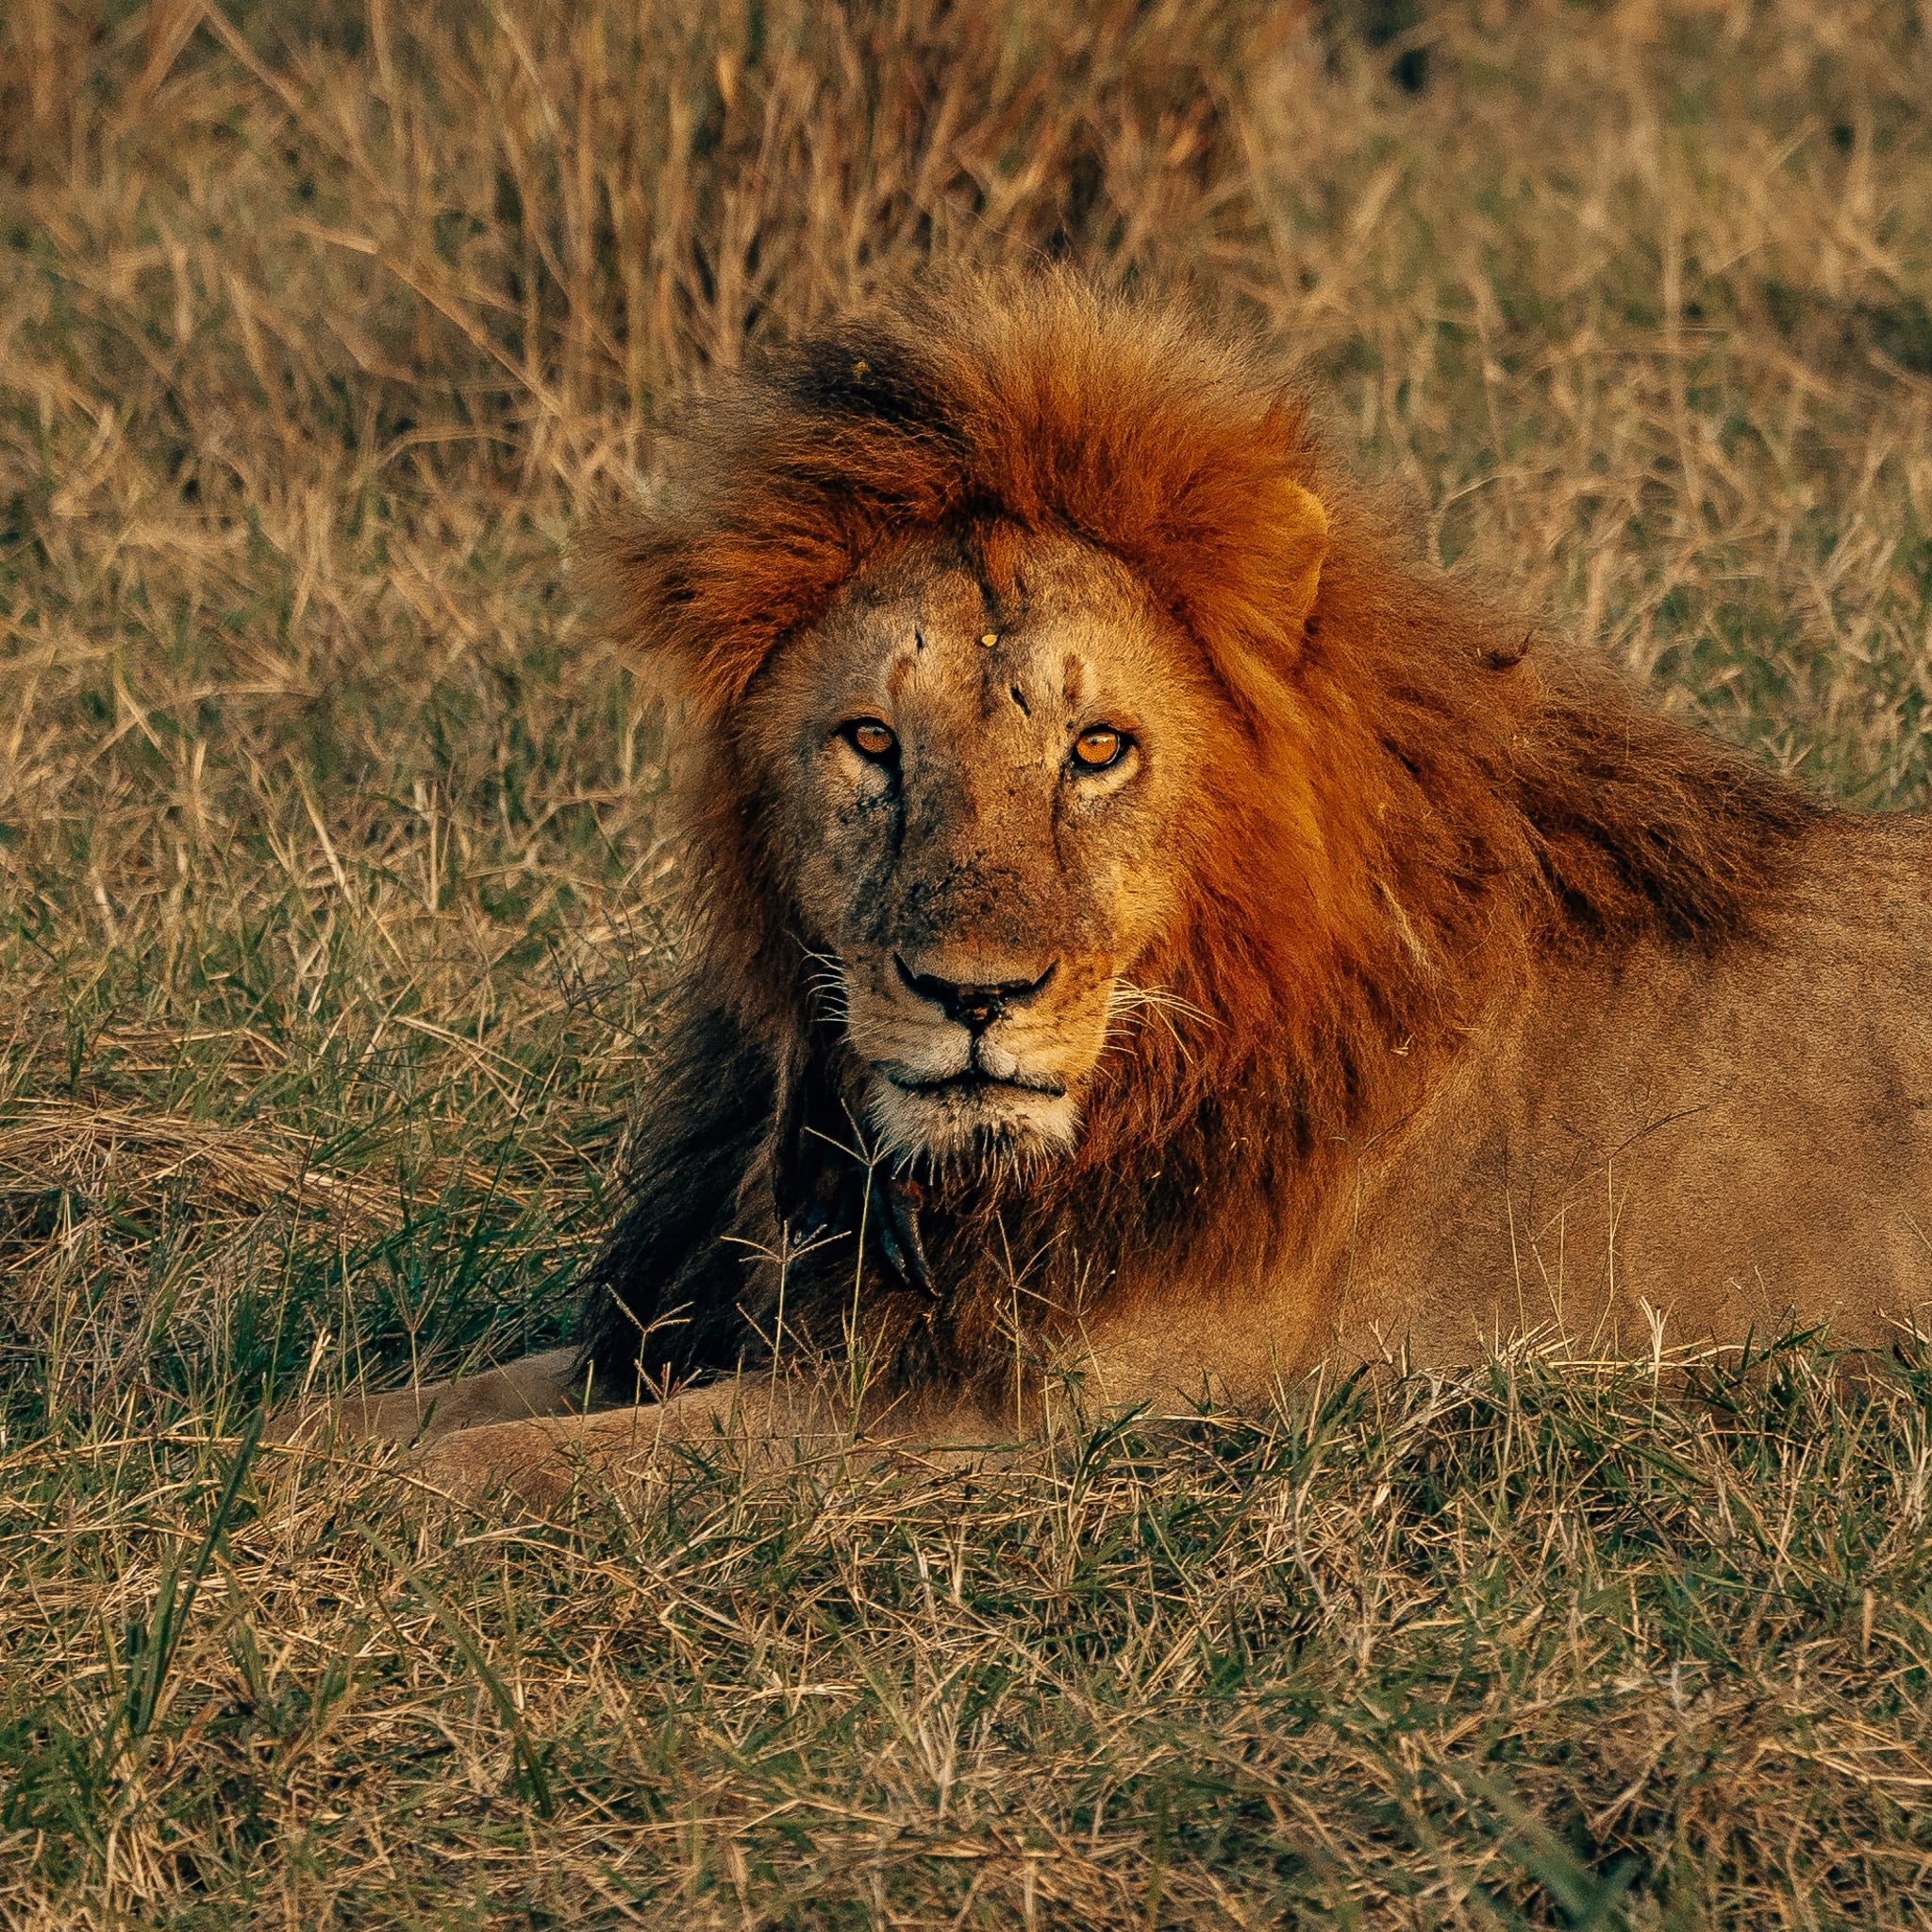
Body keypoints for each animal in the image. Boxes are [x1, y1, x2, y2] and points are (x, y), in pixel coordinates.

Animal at [316, 273, 1932, 1500]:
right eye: (871, 742)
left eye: (1097, 749)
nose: (971, 997)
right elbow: (431, 1404)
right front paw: (273, 1441)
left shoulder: (998, 1415)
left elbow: (547, 1461)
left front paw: (318, 1508)